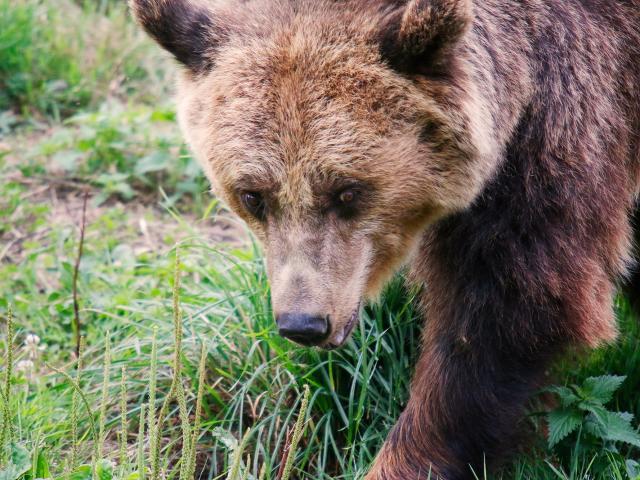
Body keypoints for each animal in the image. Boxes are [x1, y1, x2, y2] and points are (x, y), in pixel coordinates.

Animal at [129, 1, 640, 478]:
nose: (303, 323)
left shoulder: (559, 121)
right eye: (253, 195)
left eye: (346, 190)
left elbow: (507, 312)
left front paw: (407, 458)